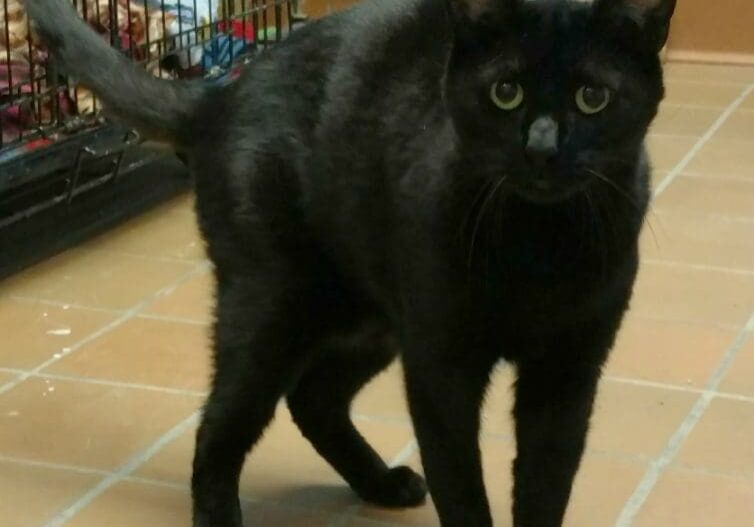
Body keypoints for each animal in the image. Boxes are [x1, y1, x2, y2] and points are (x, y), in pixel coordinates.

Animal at [23, 0, 672, 524]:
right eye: (504, 92)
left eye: (593, 98)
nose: (541, 147)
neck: (537, 246)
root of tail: (221, 95)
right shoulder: (441, 367)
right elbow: (462, 487)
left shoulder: (568, 373)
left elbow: (545, 487)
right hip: (272, 308)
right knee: (218, 428)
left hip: (369, 319)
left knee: (314, 400)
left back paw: (381, 483)